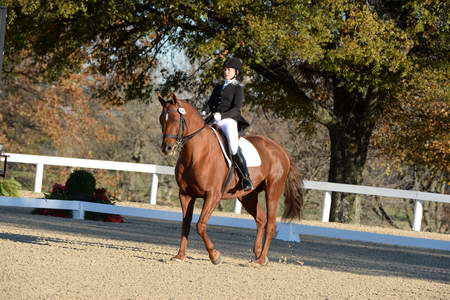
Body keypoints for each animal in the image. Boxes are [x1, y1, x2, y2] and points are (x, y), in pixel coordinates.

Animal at [157, 94, 302, 264]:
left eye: (175, 119)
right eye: (162, 119)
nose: (167, 148)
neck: (196, 153)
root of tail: (281, 151)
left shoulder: (213, 195)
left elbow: (200, 225)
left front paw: (215, 256)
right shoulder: (185, 194)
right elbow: (186, 223)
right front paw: (180, 256)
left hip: (272, 192)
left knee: (271, 224)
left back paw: (260, 260)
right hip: (247, 196)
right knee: (261, 219)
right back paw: (258, 254)